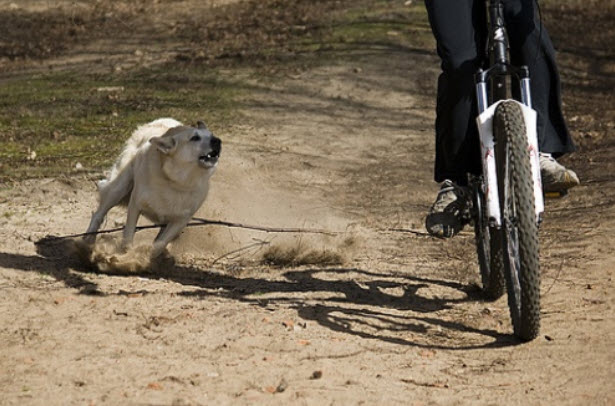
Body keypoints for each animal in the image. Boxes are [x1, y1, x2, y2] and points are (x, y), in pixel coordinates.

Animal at [85, 118, 221, 256]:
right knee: (98, 214)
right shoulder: (135, 205)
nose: (218, 140)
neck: (176, 182)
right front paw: (126, 255)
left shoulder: (180, 221)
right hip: (118, 187)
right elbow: (128, 235)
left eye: (212, 135)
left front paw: (146, 257)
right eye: (195, 138)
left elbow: (159, 243)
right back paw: (87, 241)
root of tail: (161, 120)